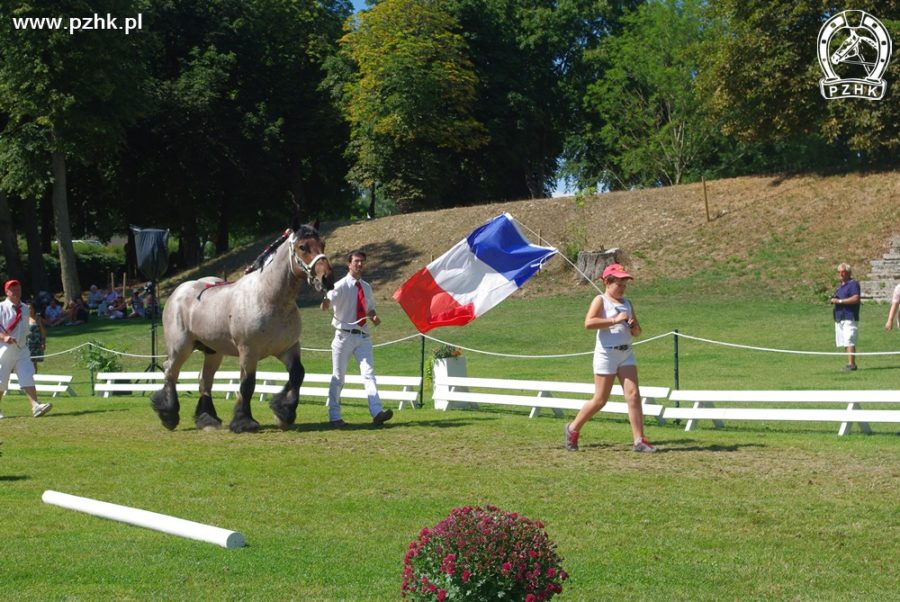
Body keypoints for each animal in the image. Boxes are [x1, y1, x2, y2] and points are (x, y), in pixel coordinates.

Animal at [151, 220, 334, 432]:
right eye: (302, 247)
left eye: (322, 244)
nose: (327, 278)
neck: (270, 298)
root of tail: (179, 291)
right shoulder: (248, 352)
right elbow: (247, 384)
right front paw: (244, 421)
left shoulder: (288, 348)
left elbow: (297, 374)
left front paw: (284, 412)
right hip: (181, 347)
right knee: (171, 373)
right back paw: (169, 416)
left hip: (213, 352)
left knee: (205, 380)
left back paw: (208, 418)